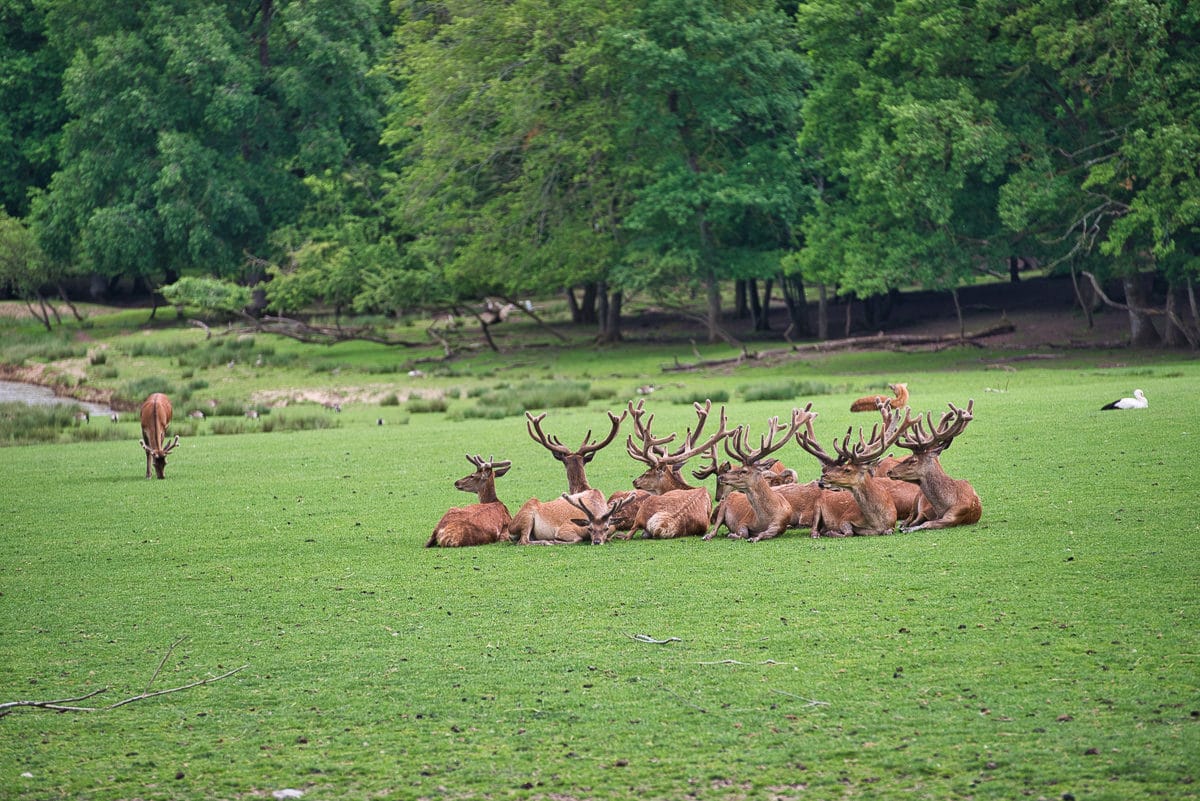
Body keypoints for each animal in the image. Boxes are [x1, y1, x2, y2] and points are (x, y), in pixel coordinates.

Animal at [705, 407, 811, 544]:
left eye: (744, 471)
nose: (721, 477)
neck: (764, 519)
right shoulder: (743, 521)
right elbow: (743, 532)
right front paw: (734, 534)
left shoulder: (780, 525)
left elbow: (764, 534)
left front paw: (752, 537)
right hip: (722, 507)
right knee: (714, 529)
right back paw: (708, 535)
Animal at [792, 400, 912, 537]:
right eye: (824, 470)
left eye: (847, 469)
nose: (823, 478)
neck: (877, 521)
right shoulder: (846, 518)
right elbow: (849, 532)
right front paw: (831, 532)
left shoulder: (891, 524)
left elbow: (888, 531)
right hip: (817, 507)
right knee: (814, 528)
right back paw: (819, 533)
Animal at [883, 400, 984, 532]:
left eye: (913, 460)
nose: (890, 471)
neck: (943, 507)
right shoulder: (925, 511)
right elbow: (918, 521)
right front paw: (905, 527)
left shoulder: (955, 516)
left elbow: (927, 524)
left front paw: (908, 529)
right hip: (915, 500)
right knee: (910, 517)